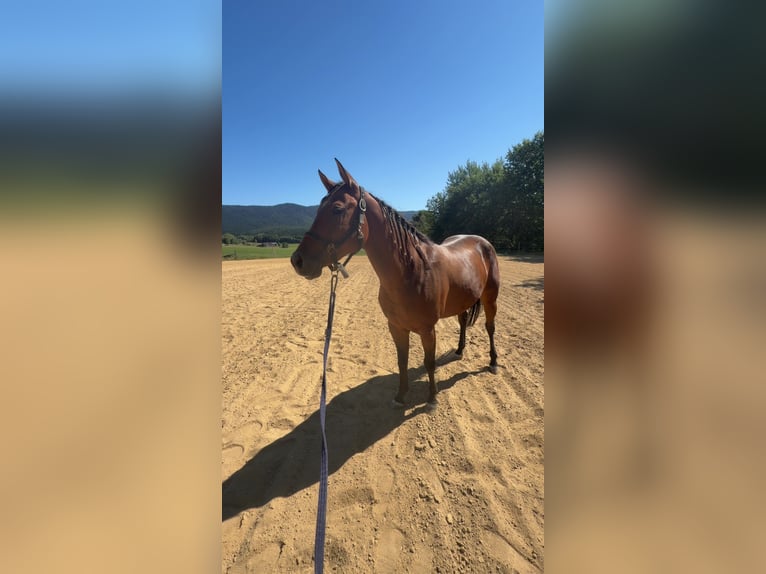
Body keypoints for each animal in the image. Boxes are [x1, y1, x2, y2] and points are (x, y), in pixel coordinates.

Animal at [291, 159, 500, 407]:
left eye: (337, 209)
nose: (297, 261)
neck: (411, 272)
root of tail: (481, 241)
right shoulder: (396, 327)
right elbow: (402, 361)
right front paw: (400, 396)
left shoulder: (428, 330)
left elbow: (429, 362)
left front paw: (432, 398)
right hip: (463, 300)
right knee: (462, 321)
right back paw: (459, 350)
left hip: (490, 298)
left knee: (490, 327)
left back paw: (493, 362)